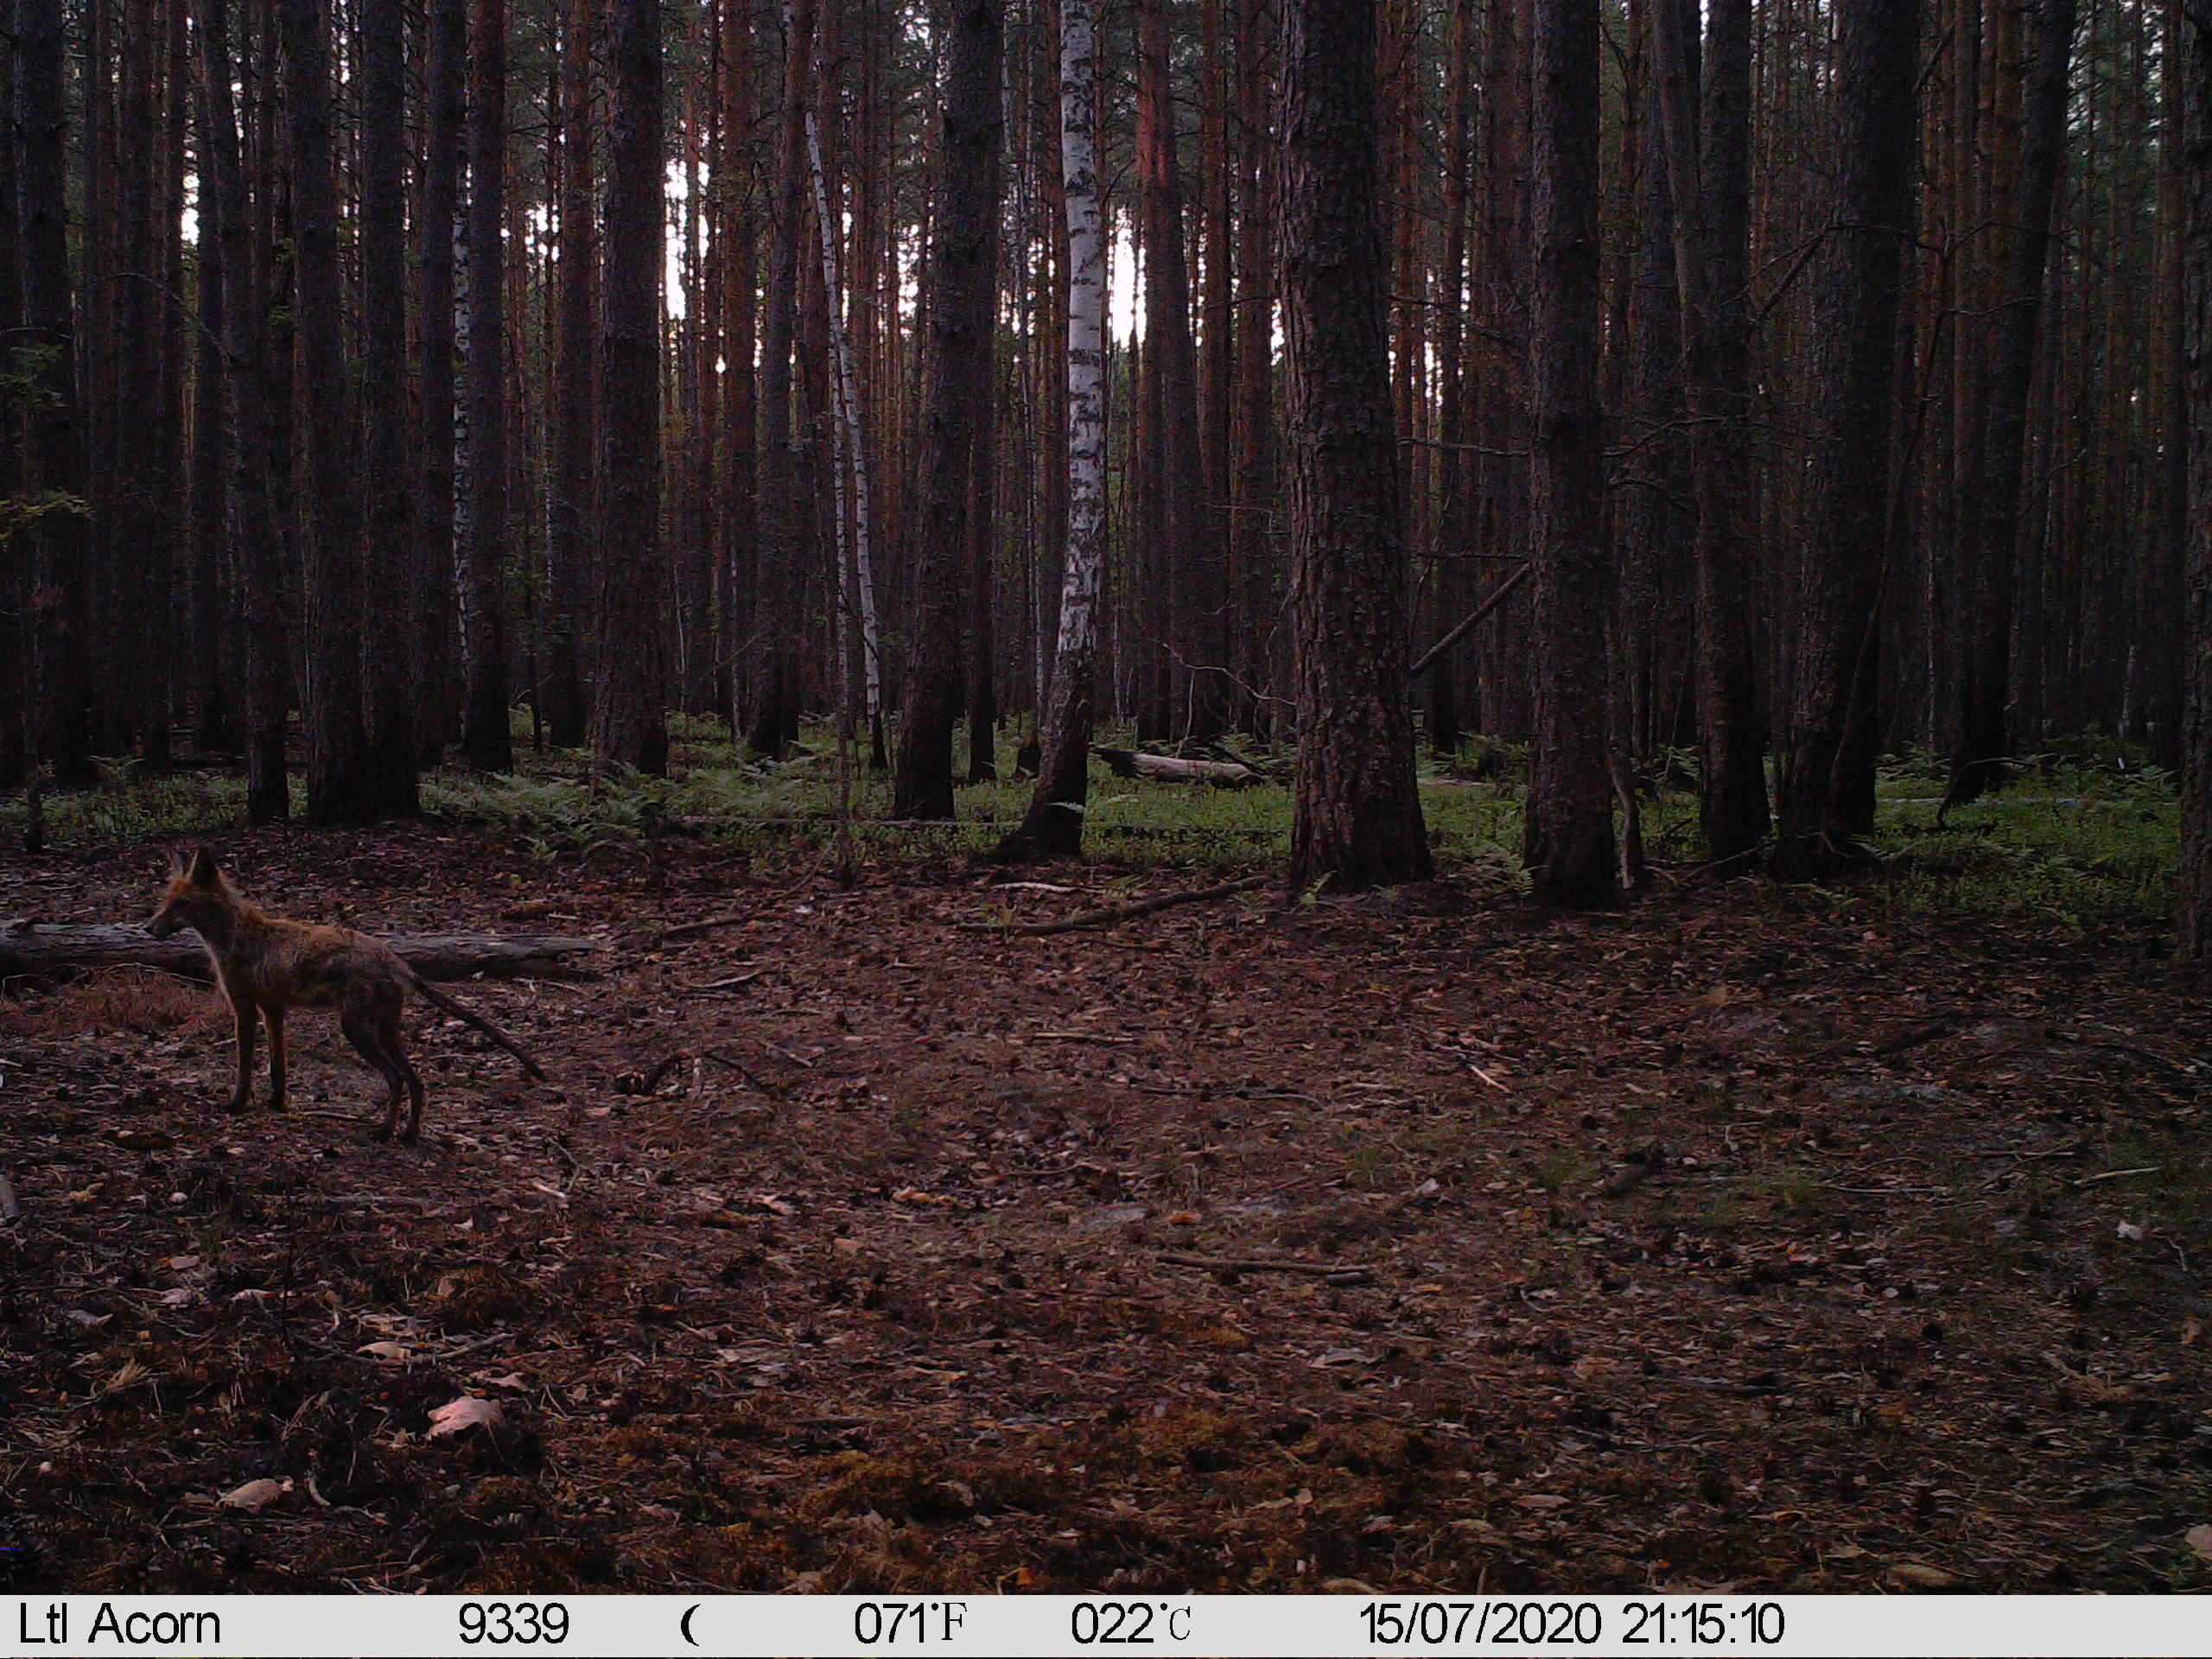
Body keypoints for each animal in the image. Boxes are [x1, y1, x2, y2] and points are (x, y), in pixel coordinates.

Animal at [146, 847, 546, 1145]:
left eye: (182, 904)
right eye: (165, 902)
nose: (147, 928)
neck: (237, 938)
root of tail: (394, 959)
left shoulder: (244, 1008)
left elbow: (245, 1065)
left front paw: (236, 1104)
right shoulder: (274, 1009)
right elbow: (278, 1067)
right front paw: (276, 1103)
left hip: (356, 1031)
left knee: (397, 1079)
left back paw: (384, 1131)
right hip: (385, 1031)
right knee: (417, 1081)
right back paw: (408, 1135)